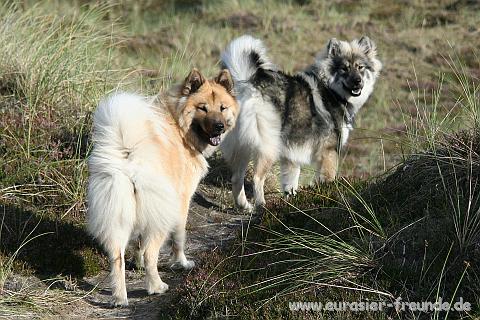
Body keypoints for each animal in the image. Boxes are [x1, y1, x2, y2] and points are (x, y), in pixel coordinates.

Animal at [221, 35, 382, 211]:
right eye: (344, 69)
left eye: (360, 67)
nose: (358, 81)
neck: (331, 90)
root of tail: (249, 85)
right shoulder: (329, 152)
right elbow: (328, 180)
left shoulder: (292, 157)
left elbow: (290, 184)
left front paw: (291, 204)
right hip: (267, 147)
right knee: (257, 177)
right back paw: (262, 206)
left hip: (242, 146)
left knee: (236, 178)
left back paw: (244, 206)